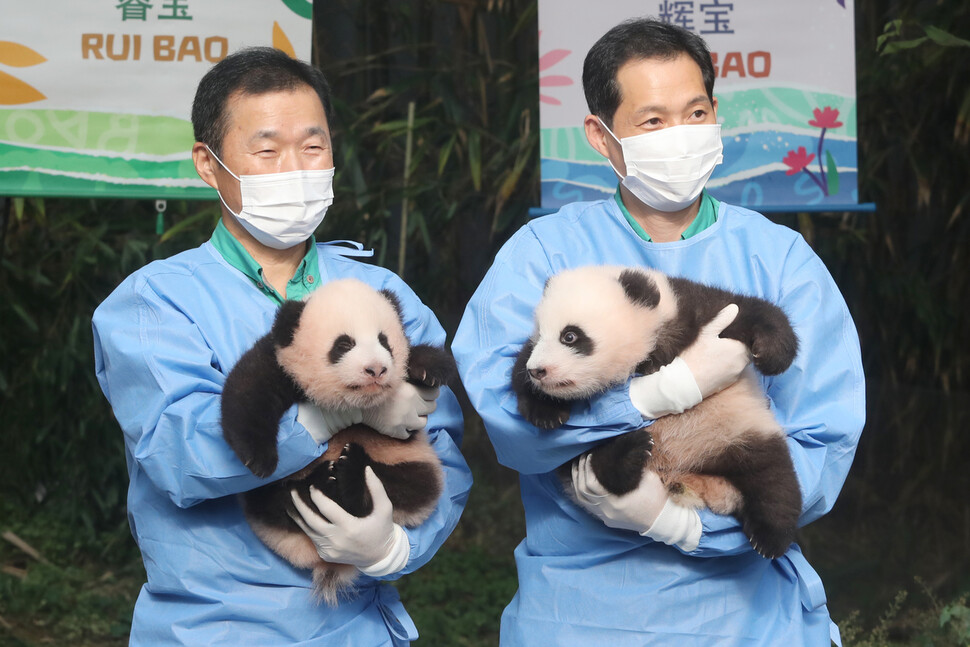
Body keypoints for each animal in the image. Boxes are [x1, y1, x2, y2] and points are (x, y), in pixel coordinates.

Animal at [221, 278, 456, 608]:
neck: (351, 402)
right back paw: (320, 482)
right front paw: (259, 459)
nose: (376, 369)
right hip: (269, 502)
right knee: (276, 500)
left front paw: (427, 368)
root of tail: (330, 562)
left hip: (412, 466)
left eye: (384, 341)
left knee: (413, 485)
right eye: (344, 345)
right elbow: (248, 390)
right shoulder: (279, 362)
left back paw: (349, 476)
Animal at [516, 266, 800, 560]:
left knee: (772, 478)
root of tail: (692, 478)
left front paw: (772, 354)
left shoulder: (690, 311)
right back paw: (629, 453)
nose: (537, 371)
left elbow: (743, 309)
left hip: (737, 431)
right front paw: (545, 411)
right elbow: (519, 366)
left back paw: (770, 537)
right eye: (539, 334)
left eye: (569, 336)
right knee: (593, 464)